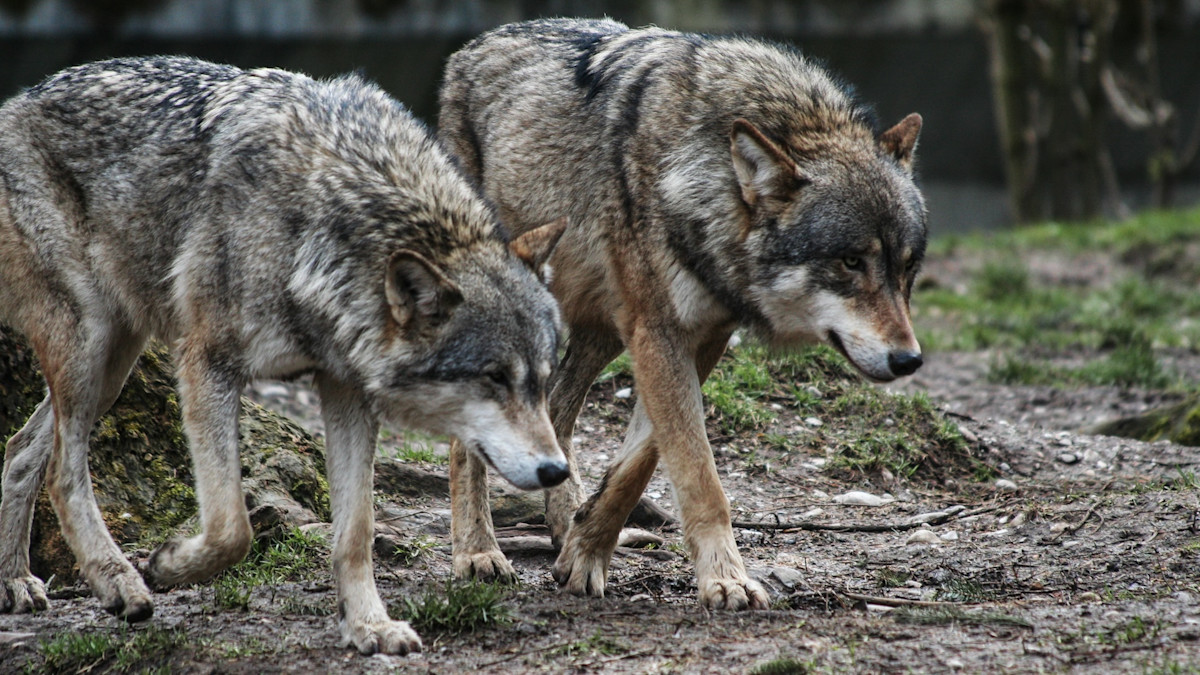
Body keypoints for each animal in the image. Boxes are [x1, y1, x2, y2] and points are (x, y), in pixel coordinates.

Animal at [0, 56, 568, 655]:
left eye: (541, 380)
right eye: (494, 377)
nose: (557, 470)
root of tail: (16, 102)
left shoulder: (346, 389)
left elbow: (356, 532)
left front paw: (369, 626)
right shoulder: (205, 362)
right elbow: (233, 527)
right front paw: (170, 564)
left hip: (113, 366)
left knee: (22, 450)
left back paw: (16, 581)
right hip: (90, 347)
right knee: (63, 470)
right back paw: (119, 580)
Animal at [438, 18, 927, 610]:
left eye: (907, 268)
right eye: (851, 261)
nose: (908, 360)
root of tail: (474, 45)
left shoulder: (701, 336)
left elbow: (640, 463)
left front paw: (583, 550)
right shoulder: (659, 333)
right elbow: (699, 477)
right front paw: (726, 579)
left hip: (601, 328)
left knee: (556, 411)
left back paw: (559, 521)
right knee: (470, 439)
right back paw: (477, 552)